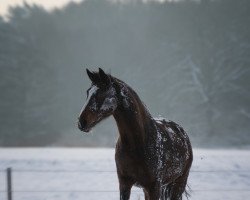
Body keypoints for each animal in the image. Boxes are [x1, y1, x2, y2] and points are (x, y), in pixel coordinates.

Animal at [78, 68, 193, 199]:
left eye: (101, 93)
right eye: (88, 93)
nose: (81, 122)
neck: (138, 143)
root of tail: (182, 132)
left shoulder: (154, 187)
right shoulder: (125, 184)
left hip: (178, 184)